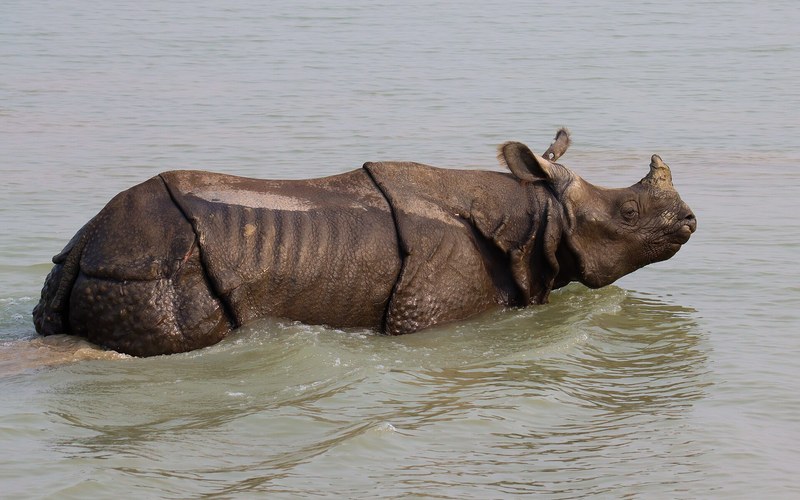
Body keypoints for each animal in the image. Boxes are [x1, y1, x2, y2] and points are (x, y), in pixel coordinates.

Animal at [33, 130, 696, 357]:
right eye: (629, 211)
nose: (690, 220)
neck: (535, 214)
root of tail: (90, 240)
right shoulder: (428, 309)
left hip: (107, 260)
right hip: (152, 268)